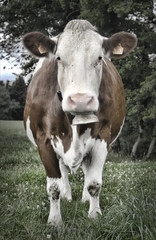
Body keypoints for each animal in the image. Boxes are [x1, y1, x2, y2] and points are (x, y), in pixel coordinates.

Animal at [22, 19, 137, 226]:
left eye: (99, 58)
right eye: (58, 58)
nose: (80, 100)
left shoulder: (102, 137)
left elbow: (94, 183)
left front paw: (94, 214)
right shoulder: (44, 140)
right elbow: (53, 187)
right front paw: (55, 221)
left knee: (86, 168)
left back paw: (83, 197)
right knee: (63, 170)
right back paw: (67, 194)